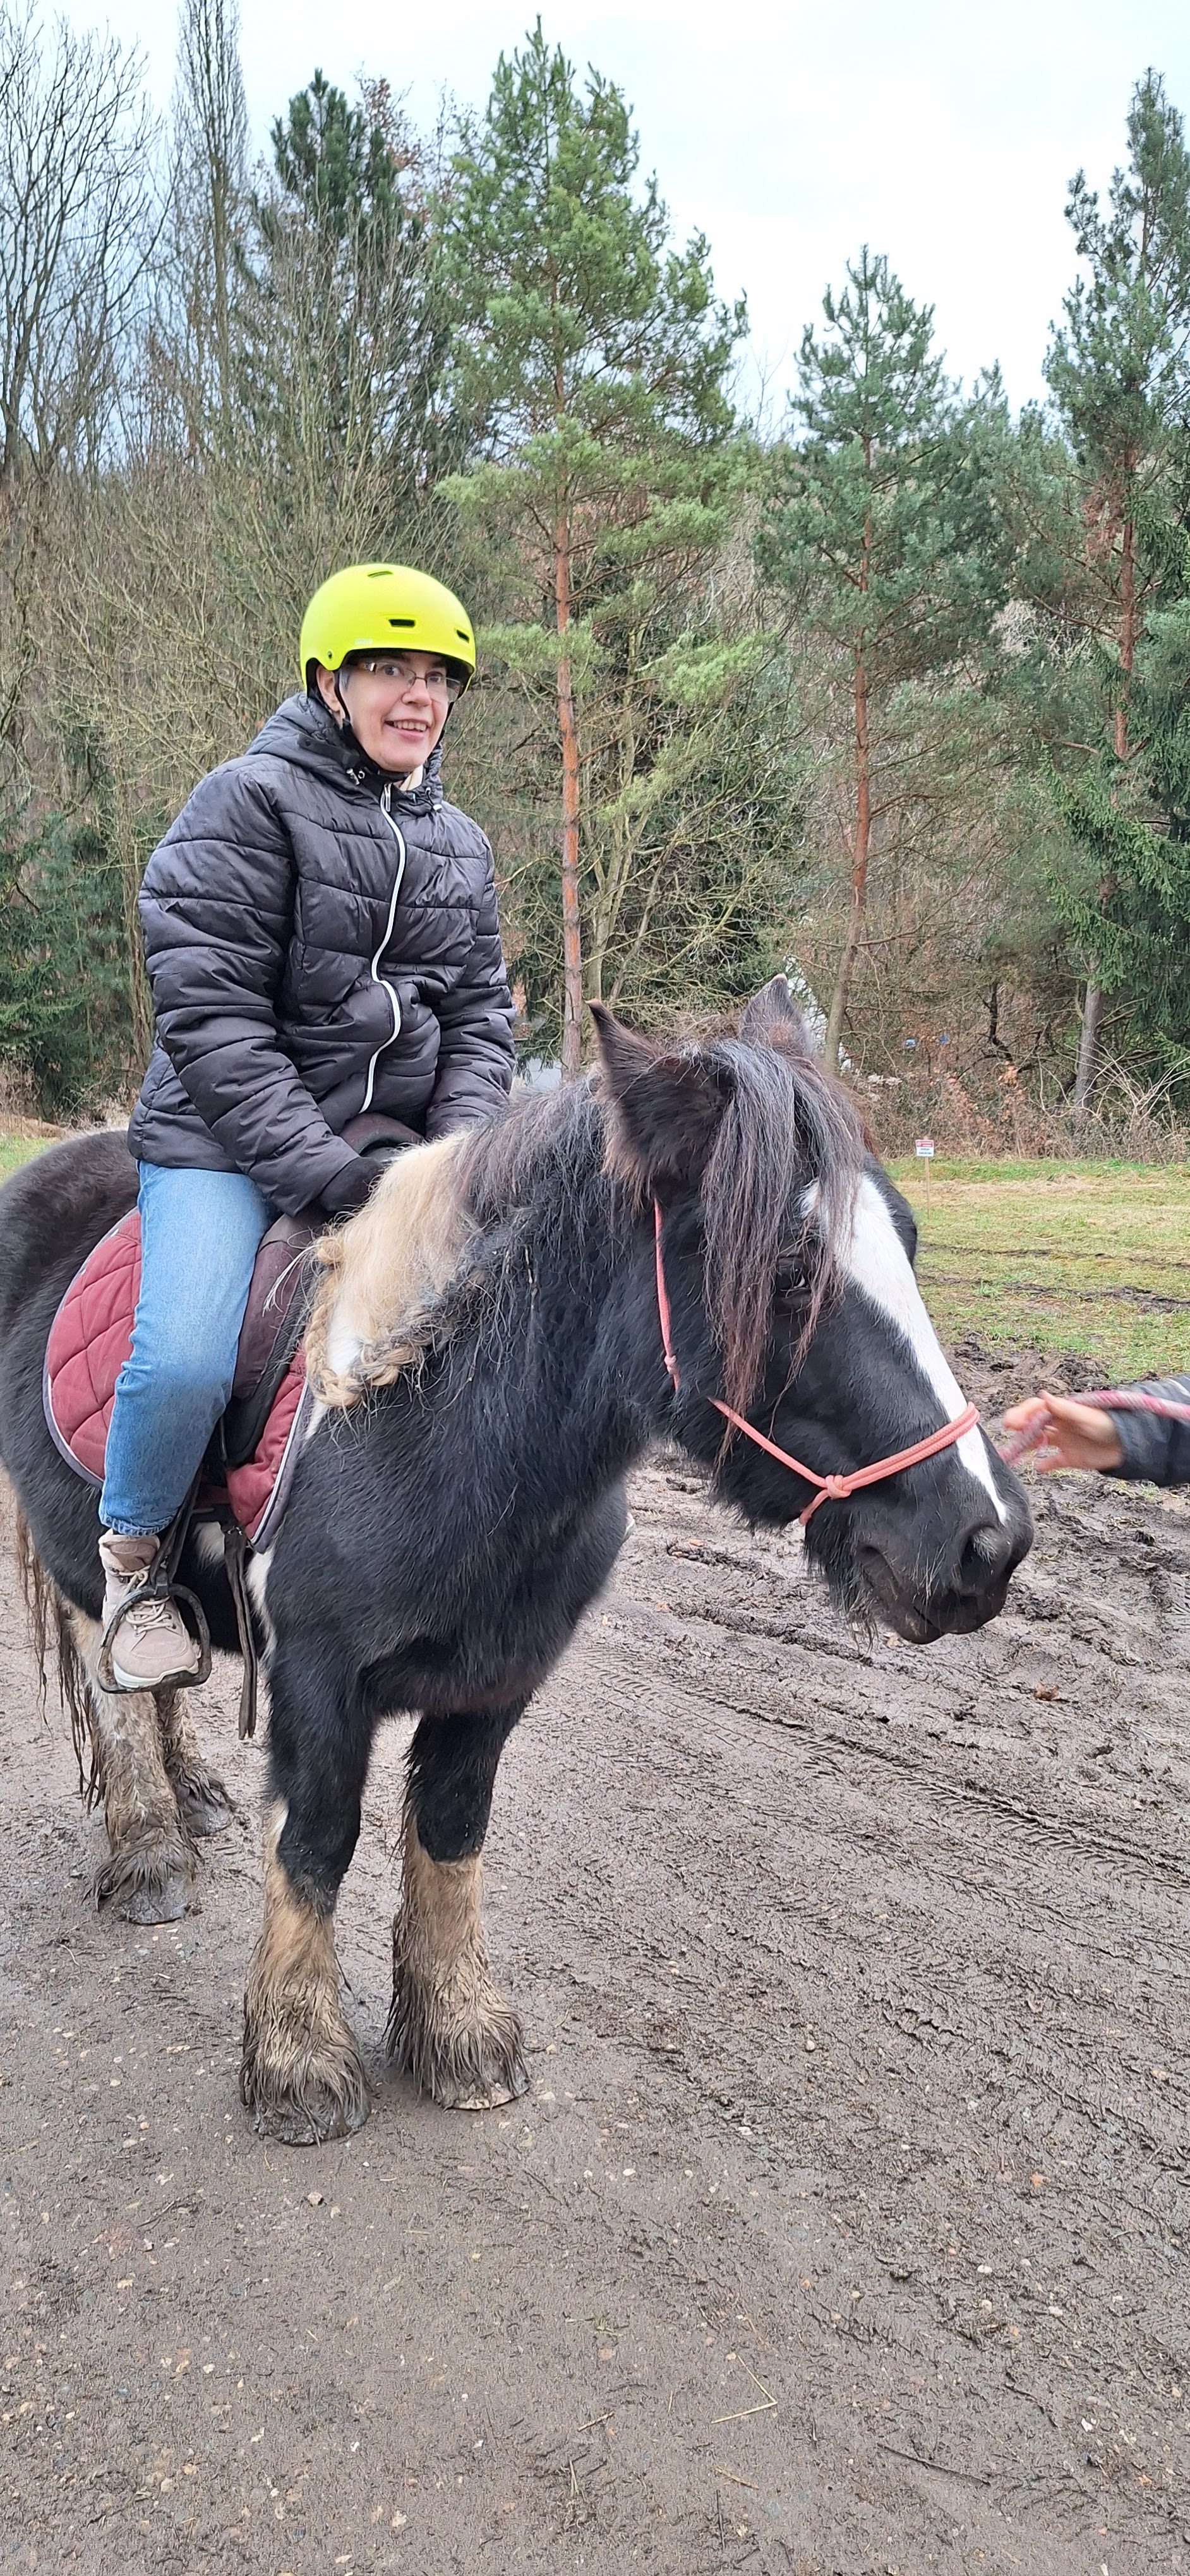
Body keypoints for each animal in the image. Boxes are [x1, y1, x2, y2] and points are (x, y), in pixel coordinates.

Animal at [0, 981, 1032, 2146]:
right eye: (787, 1270)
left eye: (908, 1240)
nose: (988, 1543)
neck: (429, 1416)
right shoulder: (317, 1677)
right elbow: (314, 1845)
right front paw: (300, 2062)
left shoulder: (498, 1679)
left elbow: (450, 1835)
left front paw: (457, 2035)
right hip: (86, 1559)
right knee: (116, 1678)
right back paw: (147, 1852)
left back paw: (193, 1795)